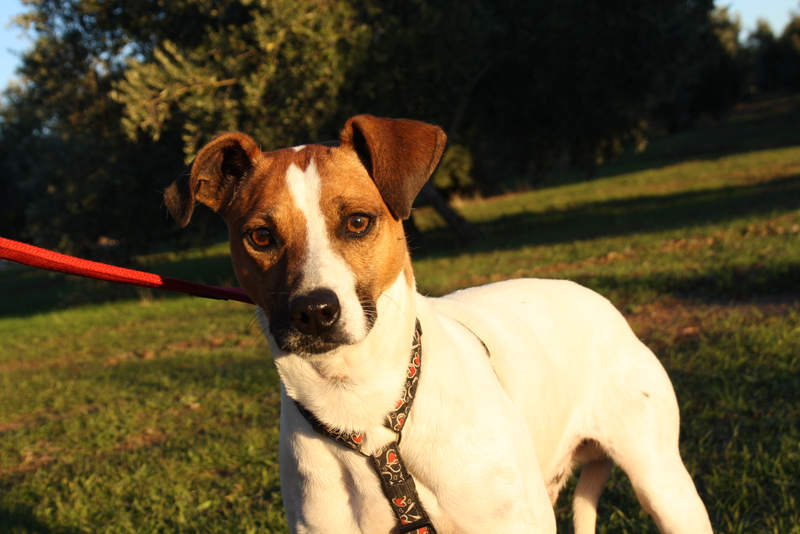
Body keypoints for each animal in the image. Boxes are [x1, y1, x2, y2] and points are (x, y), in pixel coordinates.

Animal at [164, 115, 713, 533]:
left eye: (358, 222)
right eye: (260, 236)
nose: (315, 311)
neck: (364, 409)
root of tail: (597, 300)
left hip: (663, 483)